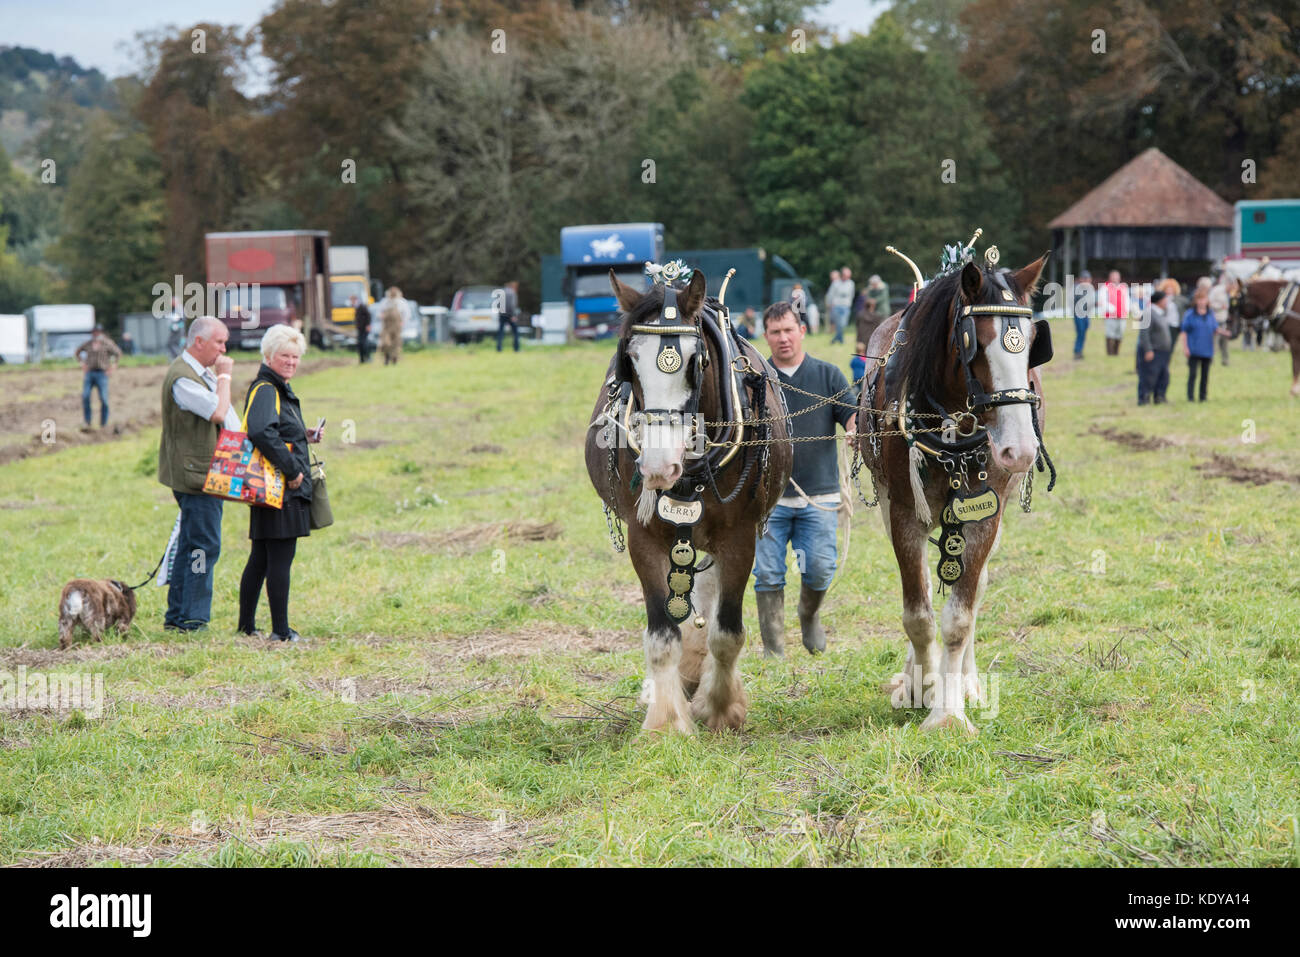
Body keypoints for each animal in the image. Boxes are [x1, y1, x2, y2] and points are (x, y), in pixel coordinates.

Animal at [585, 267, 793, 733]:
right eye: (629, 362)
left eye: (696, 362)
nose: (658, 468)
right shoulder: (644, 539)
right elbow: (662, 636)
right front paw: (665, 722)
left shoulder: (740, 538)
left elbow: (726, 631)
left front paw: (718, 708)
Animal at [855, 251, 1053, 734]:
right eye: (975, 343)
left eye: (1032, 343)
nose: (1020, 450)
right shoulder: (904, 512)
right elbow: (918, 615)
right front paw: (924, 688)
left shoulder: (986, 515)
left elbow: (961, 616)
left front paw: (949, 710)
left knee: (975, 591)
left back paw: (966, 683)